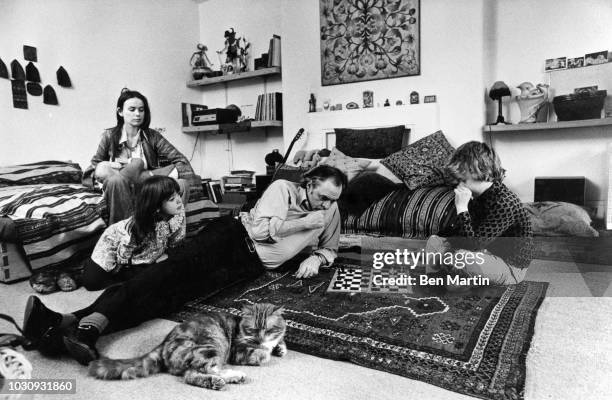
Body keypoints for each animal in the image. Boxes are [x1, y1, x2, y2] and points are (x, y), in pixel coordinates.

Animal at [88, 304, 286, 390]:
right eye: (253, 329)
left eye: (268, 329)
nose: (260, 338)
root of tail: (163, 344)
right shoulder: (237, 351)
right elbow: (261, 354)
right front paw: (265, 352)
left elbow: (280, 343)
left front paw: (280, 348)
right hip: (210, 346)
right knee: (206, 369)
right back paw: (234, 376)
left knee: (191, 375)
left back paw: (215, 382)